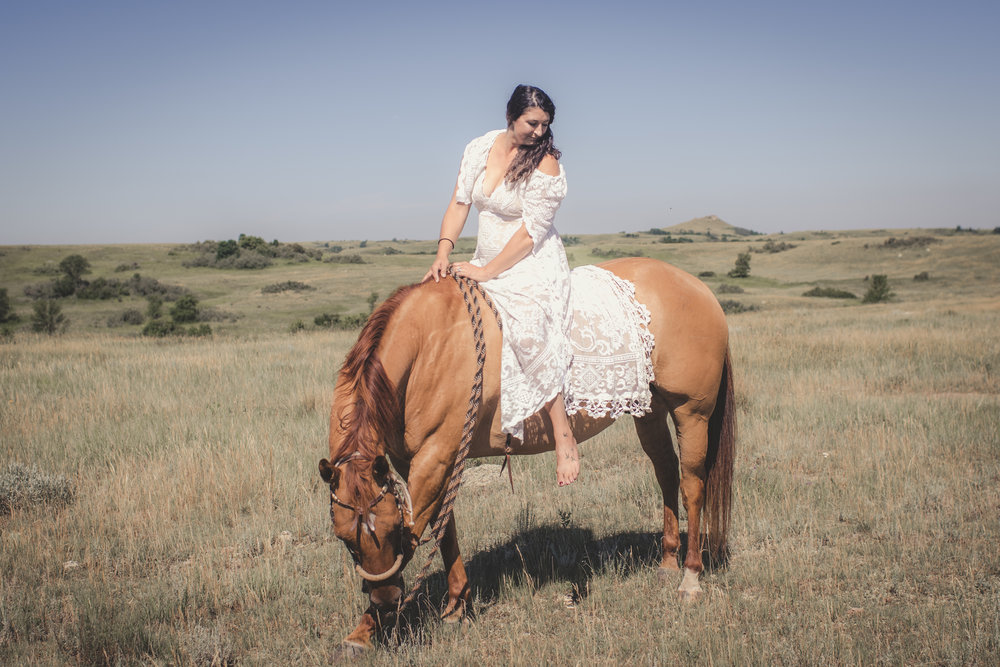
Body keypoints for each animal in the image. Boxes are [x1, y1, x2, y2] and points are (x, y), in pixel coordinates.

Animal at [318, 258, 736, 656]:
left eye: (390, 530)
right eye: (344, 539)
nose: (386, 601)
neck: (430, 347)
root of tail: (698, 288)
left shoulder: (435, 458)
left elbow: (420, 528)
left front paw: (364, 632)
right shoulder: (412, 462)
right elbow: (443, 526)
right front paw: (456, 606)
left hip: (691, 413)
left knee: (692, 486)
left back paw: (690, 578)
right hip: (649, 408)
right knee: (666, 473)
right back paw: (667, 562)